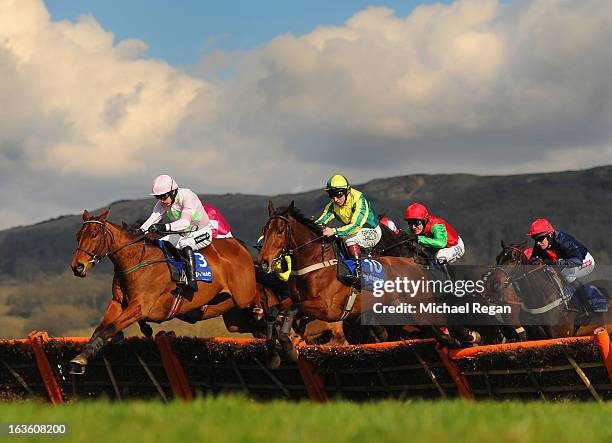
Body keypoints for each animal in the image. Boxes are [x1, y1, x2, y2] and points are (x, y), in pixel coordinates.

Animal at [68, 211, 256, 374]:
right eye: (78, 235)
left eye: (94, 234)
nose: (77, 267)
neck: (136, 261)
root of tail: (238, 244)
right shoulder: (118, 303)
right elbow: (99, 330)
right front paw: (81, 358)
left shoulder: (140, 306)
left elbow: (109, 328)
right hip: (226, 307)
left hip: (244, 297)